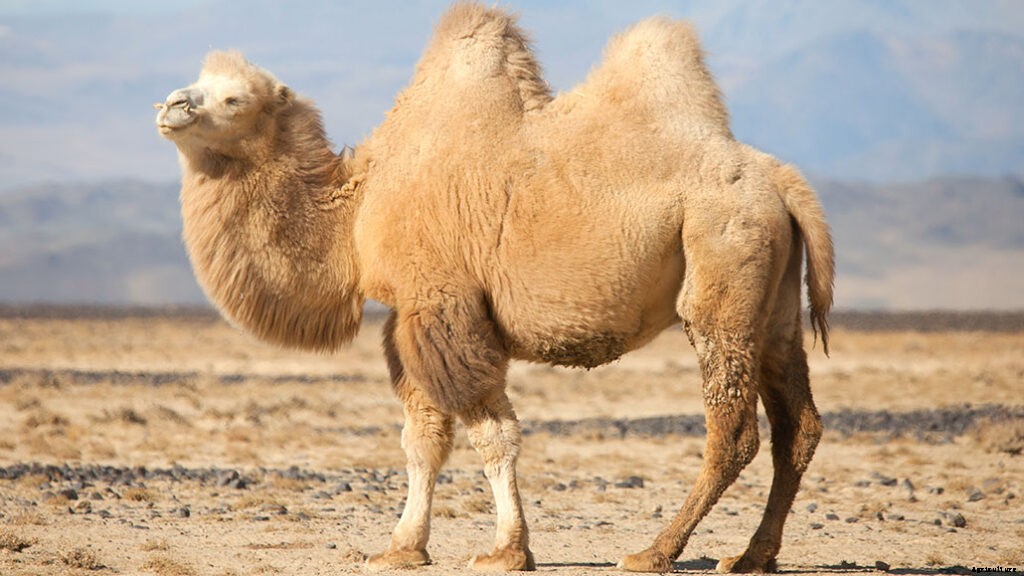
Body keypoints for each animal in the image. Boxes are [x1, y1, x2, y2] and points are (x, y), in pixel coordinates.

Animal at [155, 3, 833, 572]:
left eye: (234, 98)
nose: (171, 105)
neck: (357, 208)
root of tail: (781, 180)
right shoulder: (410, 317)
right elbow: (423, 439)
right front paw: (402, 547)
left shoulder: (446, 305)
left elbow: (491, 435)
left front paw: (507, 551)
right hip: (773, 303)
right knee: (798, 426)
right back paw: (752, 556)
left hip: (722, 265)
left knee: (734, 429)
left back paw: (654, 552)